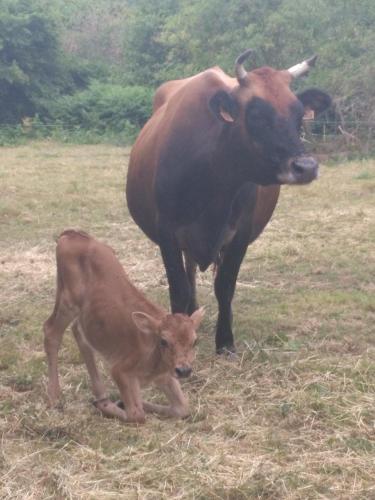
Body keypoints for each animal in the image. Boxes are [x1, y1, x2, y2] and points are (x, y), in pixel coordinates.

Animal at [44, 229, 206, 422]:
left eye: (195, 341)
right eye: (164, 341)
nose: (183, 370)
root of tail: (72, 234)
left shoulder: (165, 377)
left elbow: (182, 409)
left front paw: (121, 403)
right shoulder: (120, 370)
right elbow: (137, 415)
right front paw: (114, 406)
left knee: (79, 332)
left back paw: (100, 395)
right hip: (68, 301)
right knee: (51, 331)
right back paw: (54, 397)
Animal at [127, 50, 332, 354]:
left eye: (299, 115)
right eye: (256, 115)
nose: (305, 167)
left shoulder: (240, 233)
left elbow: (224, 286)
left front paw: (225, 341)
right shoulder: (167, 231)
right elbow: (178, 288)